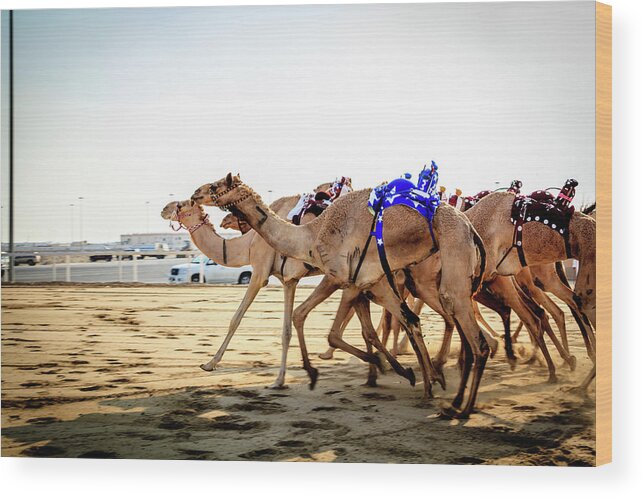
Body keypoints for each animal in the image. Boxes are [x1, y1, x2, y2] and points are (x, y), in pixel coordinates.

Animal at [194, 171, 490, 416]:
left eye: (216, 185)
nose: (195, 193)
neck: (312, 234)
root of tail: (471, 228)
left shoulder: (345, 279)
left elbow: (325, 327)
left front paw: (314, 372)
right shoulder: (370, 282)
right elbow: (399, 323)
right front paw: (408, 375)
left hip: (451, 265)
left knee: (473, 336)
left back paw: (463, 407)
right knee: (440, 323)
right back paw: (444, 388)